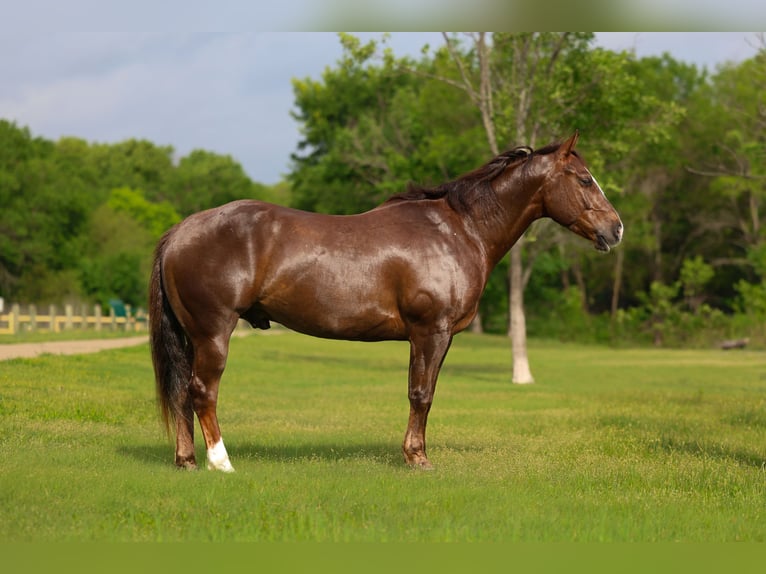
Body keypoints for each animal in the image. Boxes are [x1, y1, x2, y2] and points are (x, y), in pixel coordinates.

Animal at [149, 131, 623, 472]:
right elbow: (421, 394)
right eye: (585, 179)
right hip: (214, 332)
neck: (459, 229)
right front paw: (418, 458)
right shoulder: (430, 331)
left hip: (192, 336)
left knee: (182, 394)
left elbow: (425, 392)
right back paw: (221, 462)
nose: (616, 229)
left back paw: (187, 461)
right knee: (202, 392)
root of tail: (181, 230)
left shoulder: (438, 337)